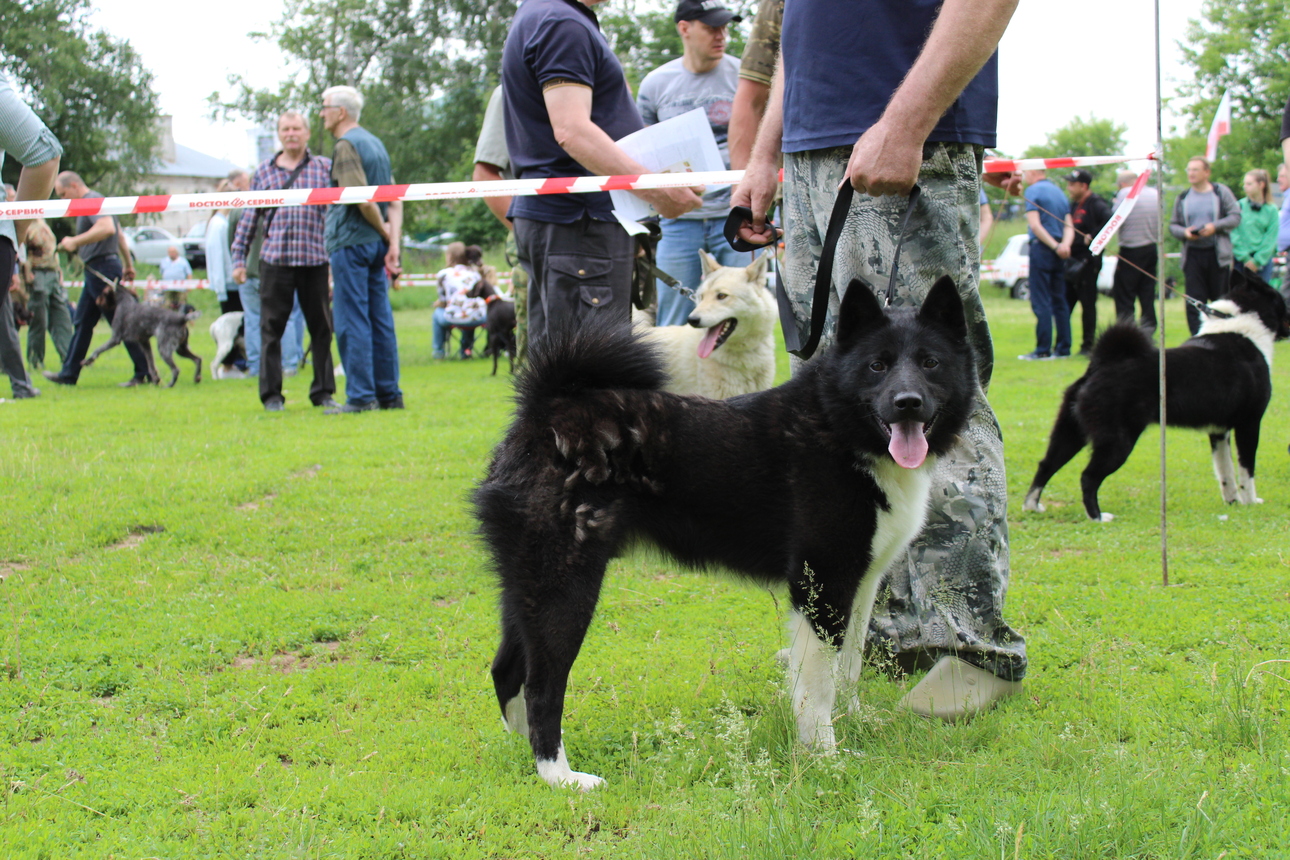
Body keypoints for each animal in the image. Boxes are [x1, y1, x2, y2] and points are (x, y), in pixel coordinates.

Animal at [474, 277, 975, 794]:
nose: (907, 402)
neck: (839, 427)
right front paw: (824, 756)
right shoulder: (820, 584)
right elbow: (818, 685)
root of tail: (548, 410)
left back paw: (527, 751)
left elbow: (850, 666)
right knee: (542, 684)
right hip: (566, 586)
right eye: (877, 365)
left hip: (527, 586)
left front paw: (856, 723)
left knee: (506, 669)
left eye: (930, 363)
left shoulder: (862, 584)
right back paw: (560, 775)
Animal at [1026, 269, 1290, 520]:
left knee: (1046, 465)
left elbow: (1225, 472)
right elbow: (1247, 471)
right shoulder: (1249, 423)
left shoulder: (1218, 430)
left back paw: (1032, 506)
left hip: (1071, 431)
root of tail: (1103, 362)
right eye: (1282, 300)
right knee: (1088, 476)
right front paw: (1250, 502)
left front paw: (1233, 501)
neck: (1242, 324)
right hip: (1118, 440)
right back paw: (1098, 517)